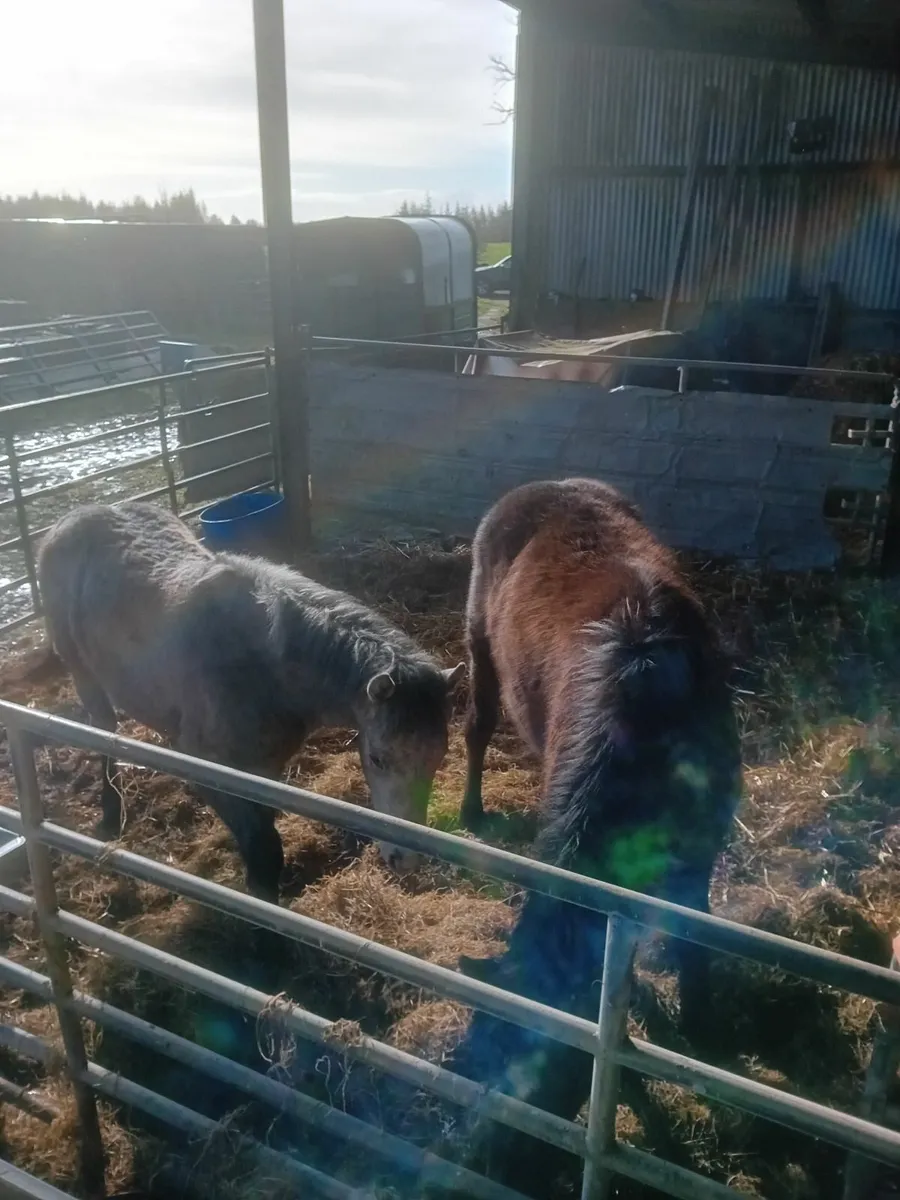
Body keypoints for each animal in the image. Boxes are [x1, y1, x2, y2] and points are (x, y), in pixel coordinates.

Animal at [37, 501, 464, 903]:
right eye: (377, 758)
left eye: (438, 756)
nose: (404, 860)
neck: (264, 669)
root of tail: (73, 518)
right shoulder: (208, 764)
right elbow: (263, 850)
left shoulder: (264, 768)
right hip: (84, 676)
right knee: (102, 733)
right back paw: (110, 813)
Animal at [448, 477, 741, 1193]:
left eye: (550, 1068)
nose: (488, 1166)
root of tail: (549, 483)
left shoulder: (699, 853)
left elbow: (689, 939)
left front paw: (701, 1026)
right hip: (479, 642)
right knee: (477, 727)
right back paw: (470, 810)